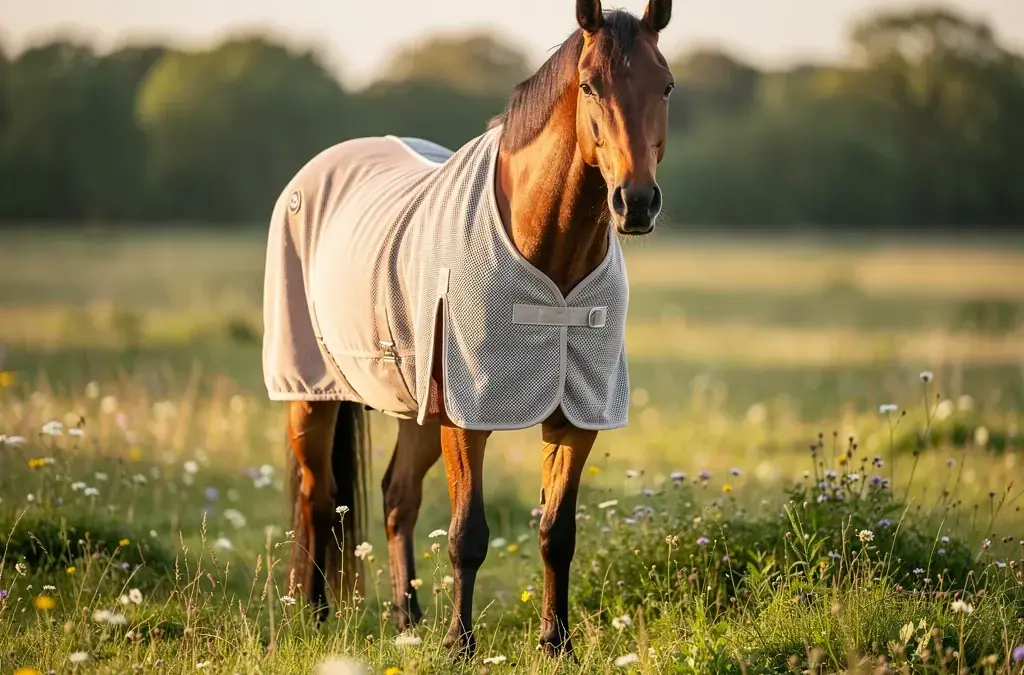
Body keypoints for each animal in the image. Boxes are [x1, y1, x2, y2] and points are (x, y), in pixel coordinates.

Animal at [261, 0, 674, 657]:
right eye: (590, 85)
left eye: (665, 85)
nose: (635, 202)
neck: (546, 256)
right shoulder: (468, 415)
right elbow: (467, 534)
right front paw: (461, 643)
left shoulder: (575, 415)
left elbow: (558, 532)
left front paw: (556, 642)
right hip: (313, 395)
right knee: (319, 500)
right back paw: (317, 615)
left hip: (421, 407)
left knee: (397, 497)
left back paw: (407, 619)